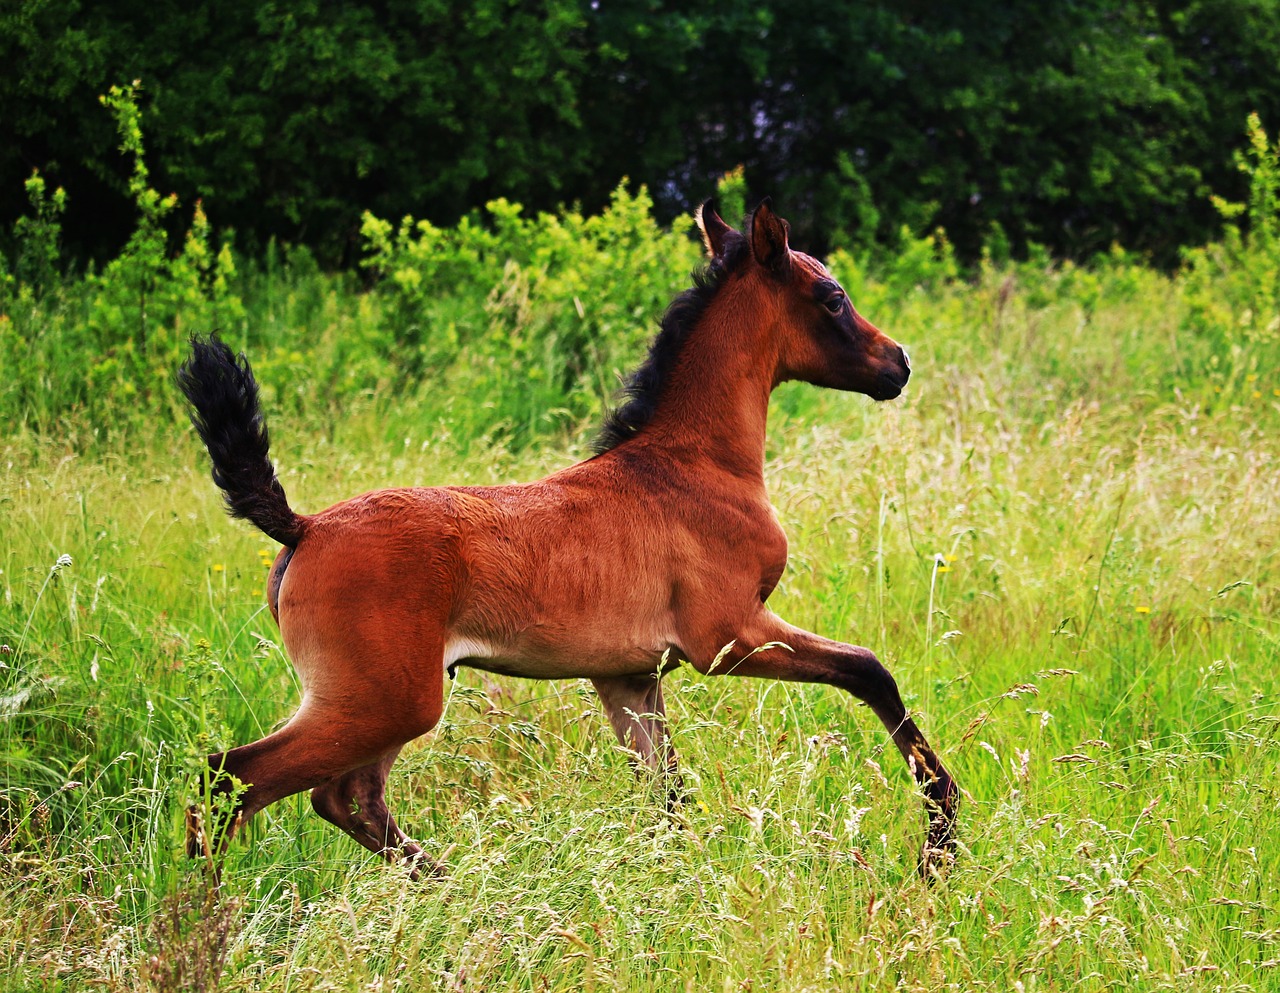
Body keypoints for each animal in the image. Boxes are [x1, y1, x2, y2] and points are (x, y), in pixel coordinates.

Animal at [183, 198, 962, 875]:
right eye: (831, 297)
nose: (898, 363)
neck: (692, 463)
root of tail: (304, 526)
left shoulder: (629, 676)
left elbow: (668, 794)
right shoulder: (729, 634)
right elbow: (870, 669)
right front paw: (941, 833)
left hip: (385, 702)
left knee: (348, 799)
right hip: (380, 702)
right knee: (232, 780)